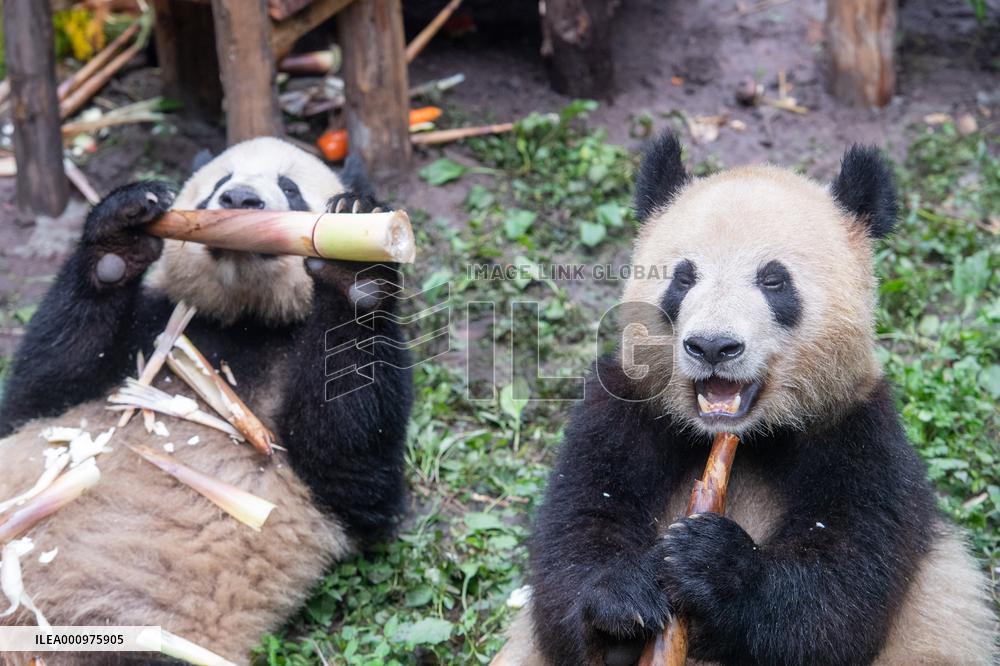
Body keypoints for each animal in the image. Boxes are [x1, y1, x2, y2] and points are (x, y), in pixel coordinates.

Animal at [0, 137, 412, 663]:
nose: (239, 199)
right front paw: (121, 233)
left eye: (289, 188)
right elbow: (40, 393)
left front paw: (354, 262)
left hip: (129, 634)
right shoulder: (152, 328)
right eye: (220, 181)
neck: (243, 322)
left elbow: (355, 469)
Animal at [496, 132, 996, 665]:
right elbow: (573, 544)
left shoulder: (858, 431)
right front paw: (625, 596)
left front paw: (713, 561)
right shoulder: (625, 412)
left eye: (773, 280)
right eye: (683, 277)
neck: (743, 437)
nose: (713, 346)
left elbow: (838, 598)